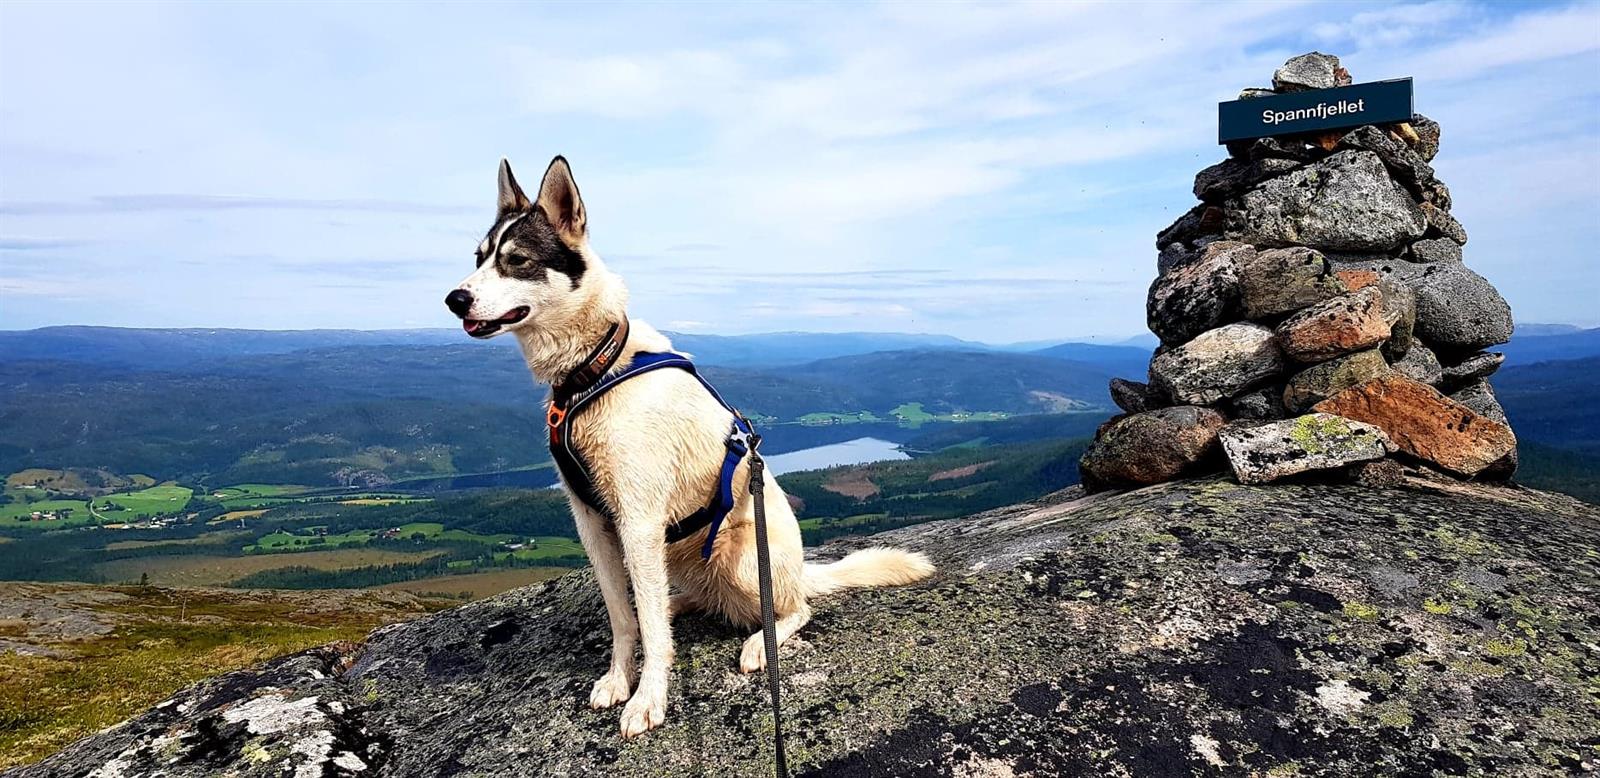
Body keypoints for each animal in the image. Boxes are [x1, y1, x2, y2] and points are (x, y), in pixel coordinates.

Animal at [444, 156, 934, 736]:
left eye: (516, 260)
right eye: (479, 258)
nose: (454, 299)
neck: (595, 369)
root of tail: (798, 571)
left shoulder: (637, 521)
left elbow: (655, 638)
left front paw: (648, 699)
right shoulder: (594, 524)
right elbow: (622, 618)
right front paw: (620, 678)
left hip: (743, 558)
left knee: (791, 610)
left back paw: (758, 643)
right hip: (677, 557)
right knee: (673, 601)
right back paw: (676, 605)